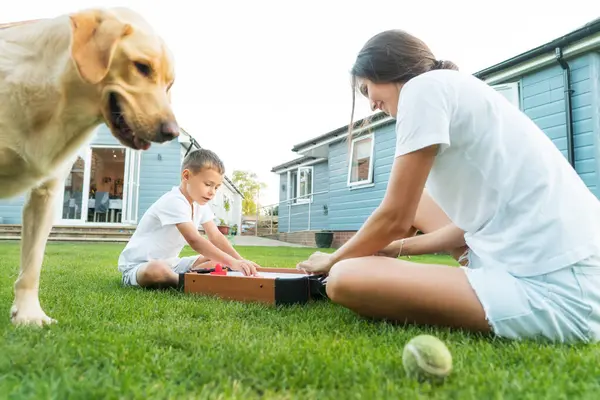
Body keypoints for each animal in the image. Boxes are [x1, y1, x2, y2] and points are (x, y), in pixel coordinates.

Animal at [0, 7, 178, 326]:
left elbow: (32, 265)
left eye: (170, 85)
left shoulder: (46, 193)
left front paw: (29, 314)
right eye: (142, 67)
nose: (173, 132)